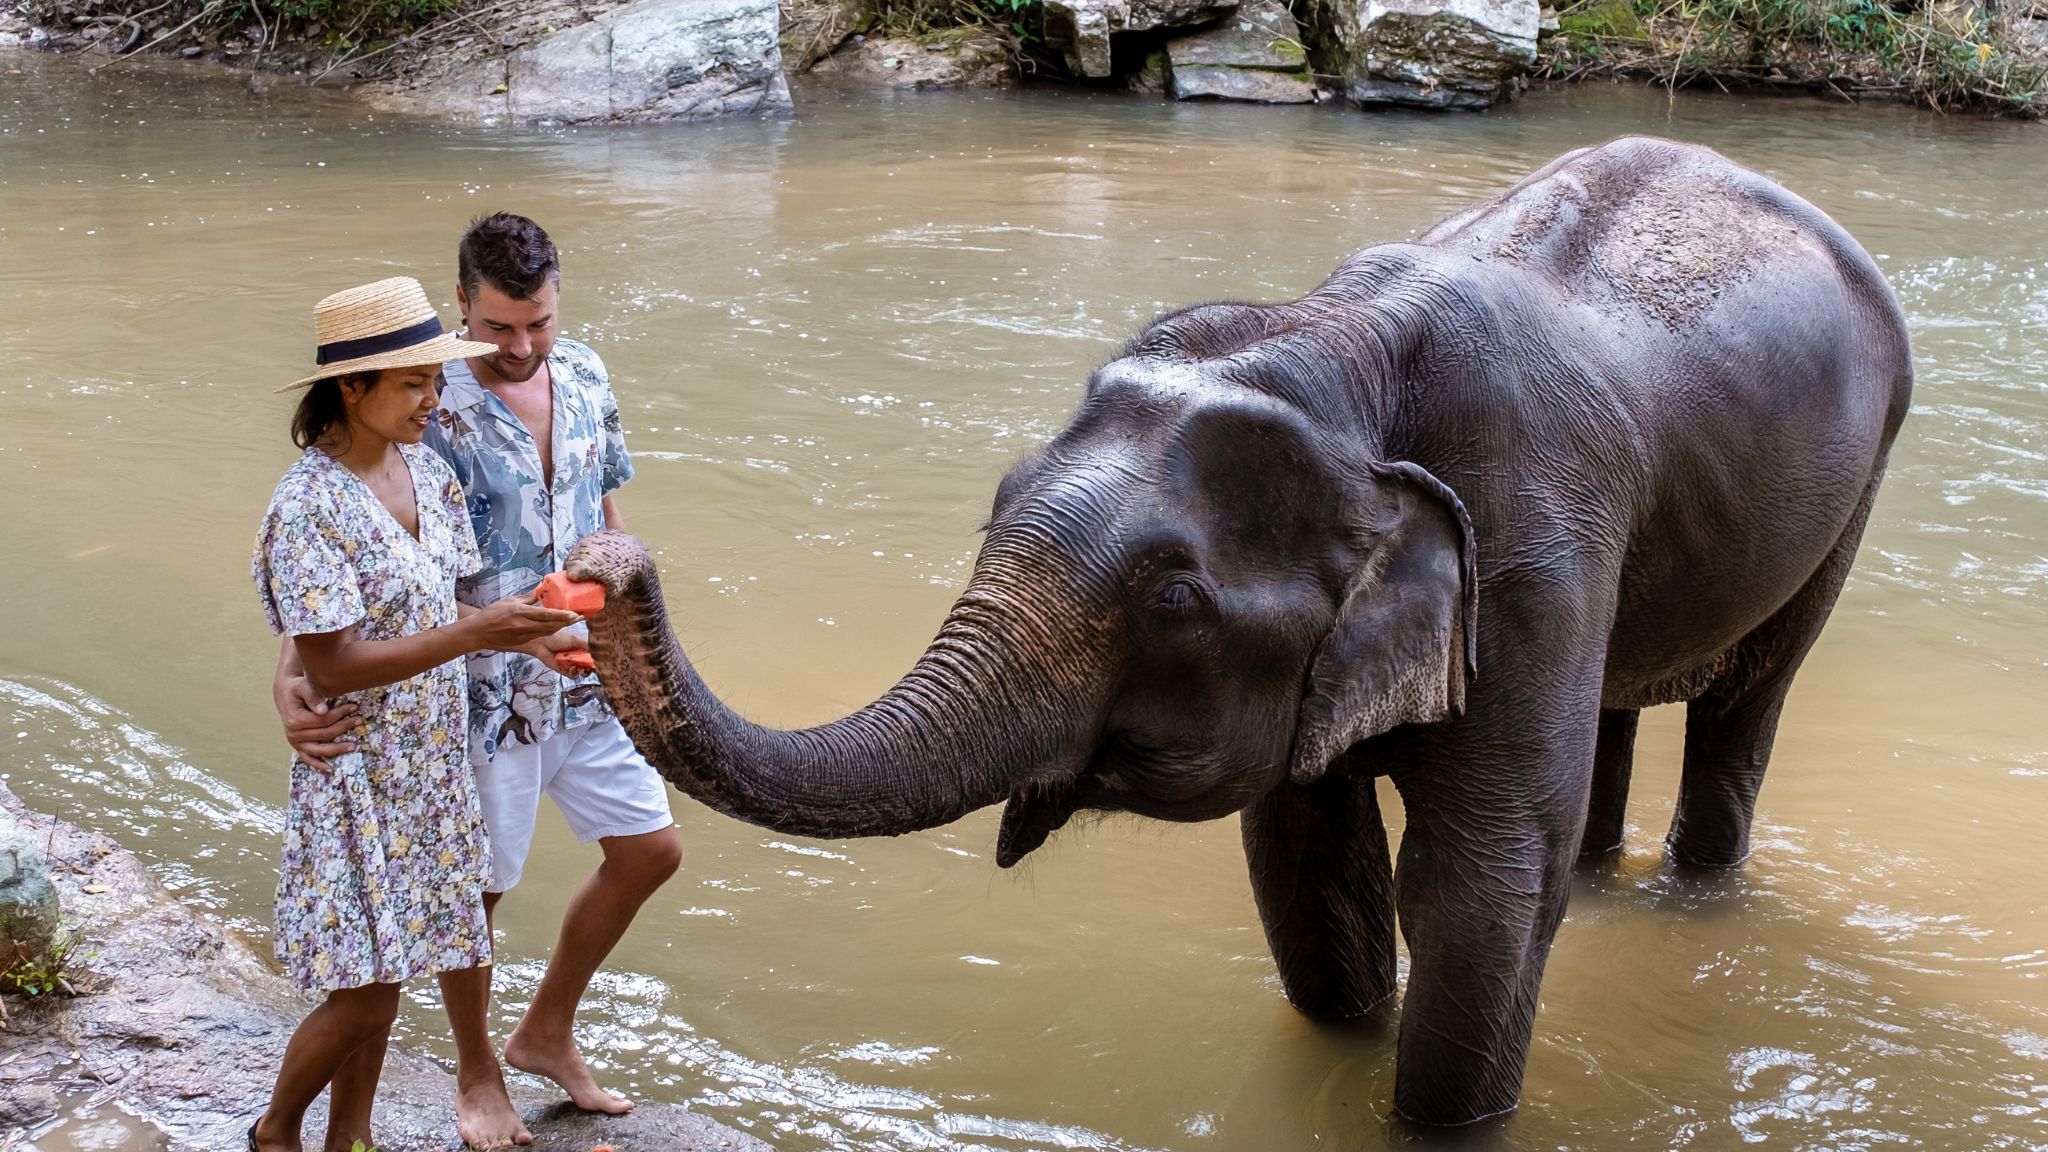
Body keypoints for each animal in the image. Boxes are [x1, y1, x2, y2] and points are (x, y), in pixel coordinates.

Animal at [565, 136, 1913, 1125]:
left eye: (1171, 598)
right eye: (994, 505)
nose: (600, 565)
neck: (1332, 351)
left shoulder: (1536, 553)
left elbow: (1478, 887)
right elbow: (1304, 858)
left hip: (1854, 488)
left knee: (1745, 702)